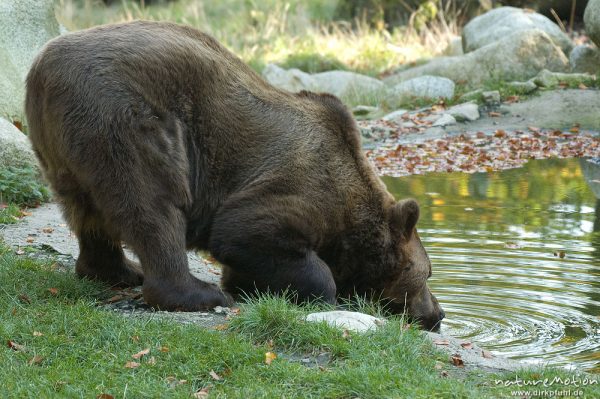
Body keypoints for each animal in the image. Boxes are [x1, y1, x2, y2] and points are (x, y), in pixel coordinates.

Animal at [24, 20, 446, 332]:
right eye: (425, 274)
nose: (438, 313)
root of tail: (42, 67)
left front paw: (249, 285)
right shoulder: (301, 185)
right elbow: (246, 230)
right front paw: (317, 290)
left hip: (61, 143)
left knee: (86, 210)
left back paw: (117, 270)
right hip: (128, 116)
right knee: (153, 202)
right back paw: (196, 292)